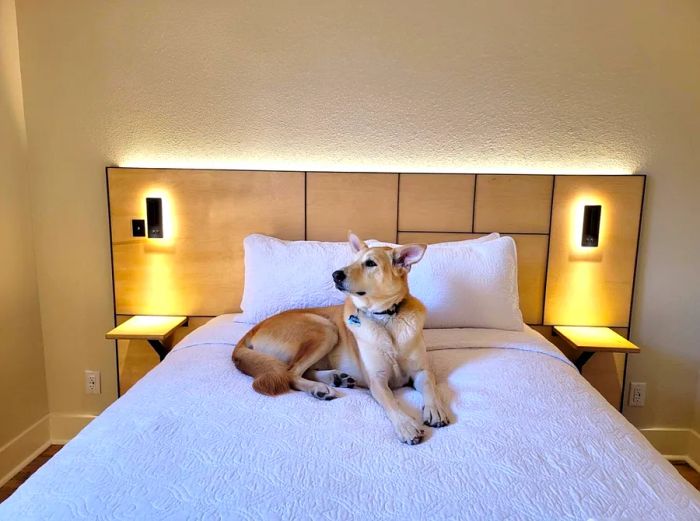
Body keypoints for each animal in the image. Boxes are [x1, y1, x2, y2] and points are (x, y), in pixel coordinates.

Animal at [232, 232, 452, 442]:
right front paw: (405, 425)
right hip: (326, 329)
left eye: (370, 263)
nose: (335, 274)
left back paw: (334, 378)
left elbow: (430, 387)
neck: (386, 318)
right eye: (352, 261)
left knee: (299, 371)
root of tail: (252, 330)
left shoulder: (422, 371)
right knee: (290, 373)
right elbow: (392, 402)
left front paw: (435, 409)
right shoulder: (378, 381)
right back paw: (320, 388)